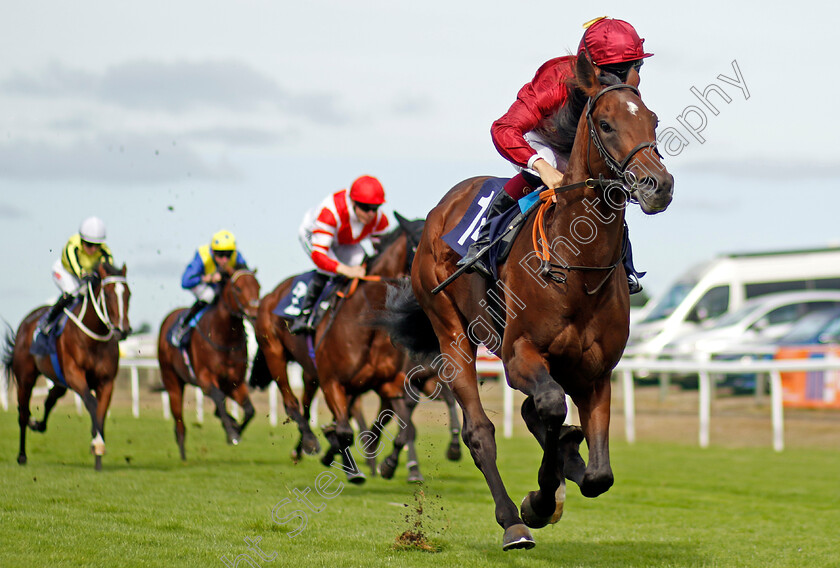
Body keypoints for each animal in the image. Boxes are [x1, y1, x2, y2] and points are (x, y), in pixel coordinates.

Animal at [2, 262, 130, 470]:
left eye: (128, 294)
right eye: (109, 294)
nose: (123, 330)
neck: (93, 339)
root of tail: (27, 321)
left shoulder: (106, 382)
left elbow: (101, 410)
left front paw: (98, 454)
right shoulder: (74, 374)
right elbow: (92, 404)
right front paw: (97, 443)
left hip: (60, 381)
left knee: (49, 400)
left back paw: (37, 424)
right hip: (26, 379)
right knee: (23, 413)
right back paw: (21, 455)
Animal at [158, 268, 260, 460]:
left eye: (258, 286)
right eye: (238, 288)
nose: (254, 312)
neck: (225, 336)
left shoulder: (234, 382)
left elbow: (249, 410)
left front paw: (235, 430)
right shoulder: (205, 379)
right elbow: (219, 398)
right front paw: (232, 433)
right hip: (172, 381)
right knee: (179, 422)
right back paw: (183, 455)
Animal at [251, 215, 460, 482]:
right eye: (423, 245)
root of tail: (270, 295)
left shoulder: (392, 382)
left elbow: (402, 429)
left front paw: (388, 465)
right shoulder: (333, 382)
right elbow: (346, 430)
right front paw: (353, 468)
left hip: (312, 373)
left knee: (309, 405)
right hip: (275, 353)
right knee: (292, 401)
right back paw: (310, 442)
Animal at [384, 55, 672, 548]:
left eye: (652, 120)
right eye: (606, 123)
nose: (659, 185)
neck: (577, 267)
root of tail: (442, 208)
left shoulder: (595, 372)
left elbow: (599, 475)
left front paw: (564, 469)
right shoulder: (519, 354)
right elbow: (551, 406)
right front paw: (537, 501)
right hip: (451, 332)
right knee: (481, 430)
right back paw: (513, 522)